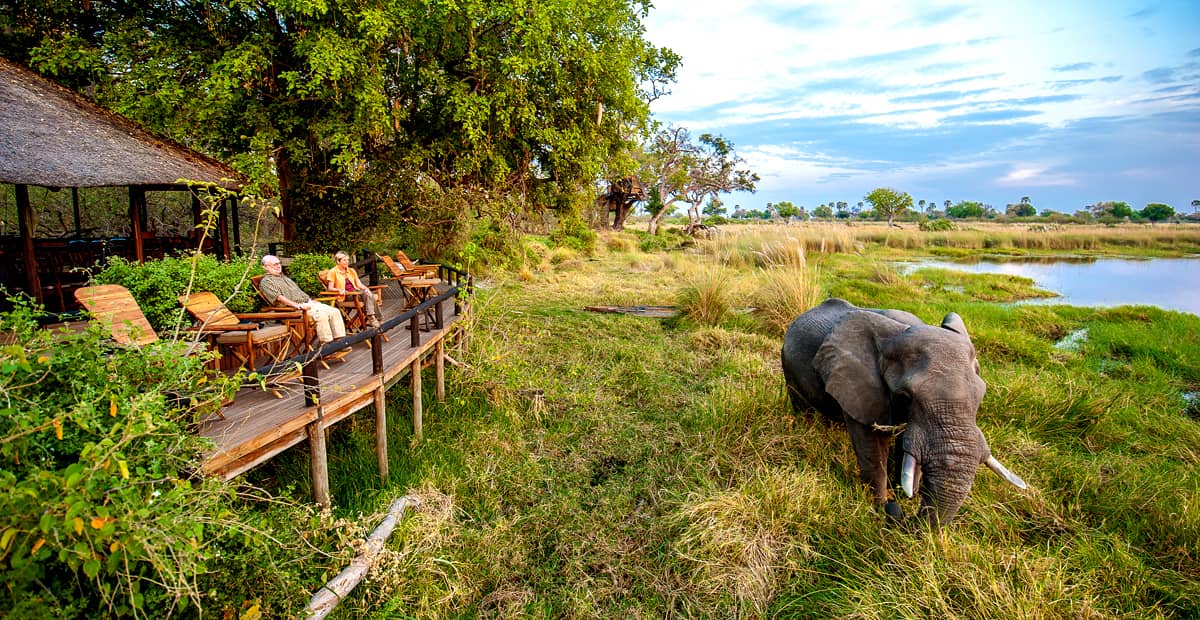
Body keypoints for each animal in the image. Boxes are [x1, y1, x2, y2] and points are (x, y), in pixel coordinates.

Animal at [780, 298, 1027, 526]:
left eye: (981, 395)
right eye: (906, 396)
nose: (901, 512)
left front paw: (901, 493)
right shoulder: (858, 383)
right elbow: (872, 446)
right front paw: (881, 505)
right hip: (788, 366)